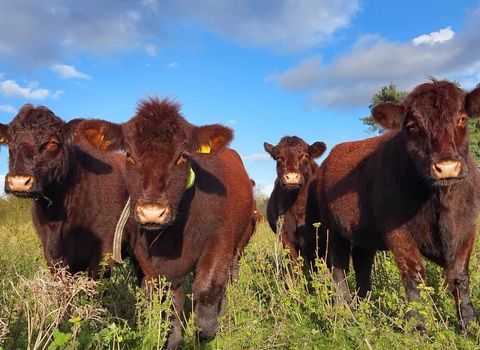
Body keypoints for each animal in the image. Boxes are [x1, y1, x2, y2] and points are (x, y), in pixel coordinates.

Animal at [75, 95, 253, 348]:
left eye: (183, 155)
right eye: (128, 154)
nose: (152, 212)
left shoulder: (219, 239)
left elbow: (208, 288)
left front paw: (206, 331)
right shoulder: (146, 258)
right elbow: (167, 300)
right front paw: (172, 339)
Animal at [318, 79, 480, 330]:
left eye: (462, 118)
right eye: (412, 125)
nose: (446, 167)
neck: (440, 199)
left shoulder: (467, 227)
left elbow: (459, 275)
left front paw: (470, 323)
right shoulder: (397, 231)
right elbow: (413, 275)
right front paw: (418, 325)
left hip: (364, 236)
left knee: (362, 265)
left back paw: (365, 304)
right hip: (332, 230)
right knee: (339, 267)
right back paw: (344, 308)